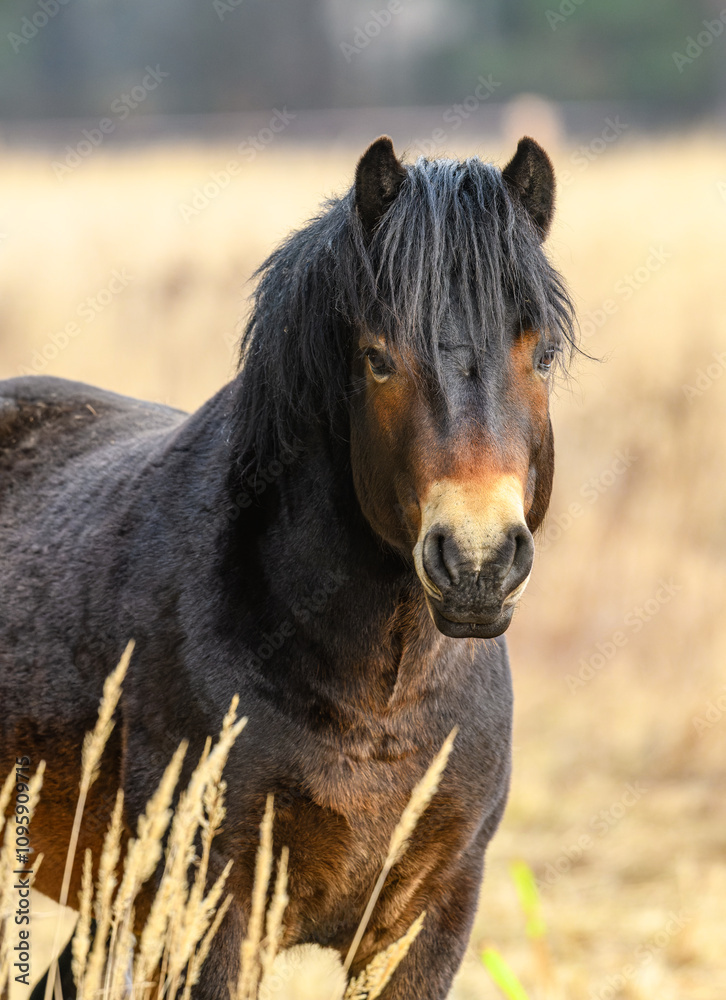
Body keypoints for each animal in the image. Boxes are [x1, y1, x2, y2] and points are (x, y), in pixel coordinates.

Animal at [0, 135, 575, 999]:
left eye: (540, 355)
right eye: (378, 360)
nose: (477, 560)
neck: (381, 699)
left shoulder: (426, 922)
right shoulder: (212, 912)